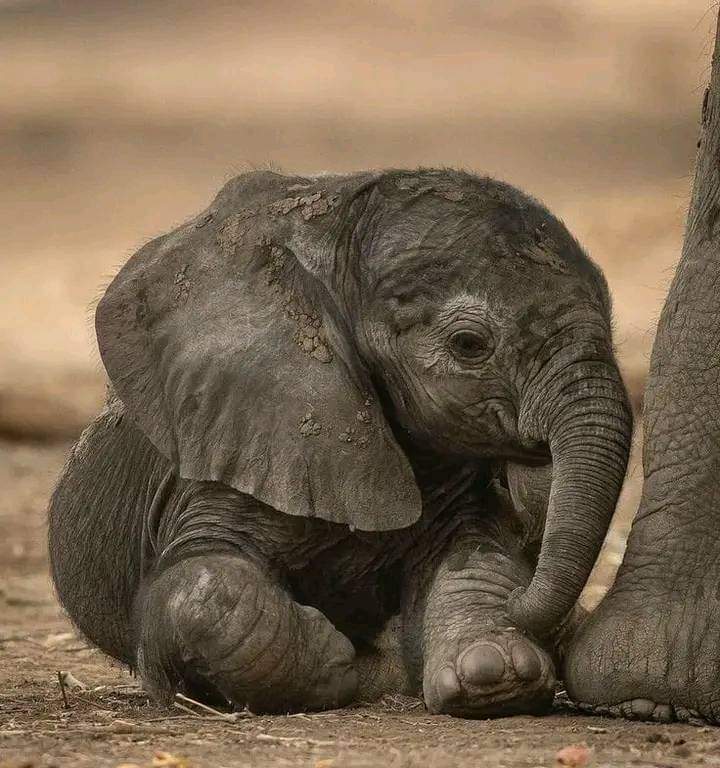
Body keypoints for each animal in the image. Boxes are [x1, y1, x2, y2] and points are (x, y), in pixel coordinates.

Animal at [48, 168, 632, 717]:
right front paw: (340, 658)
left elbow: (477, 554)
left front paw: (493, 670)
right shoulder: (234, 432)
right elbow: (203, 582)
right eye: (469, 345)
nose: (525, 605)